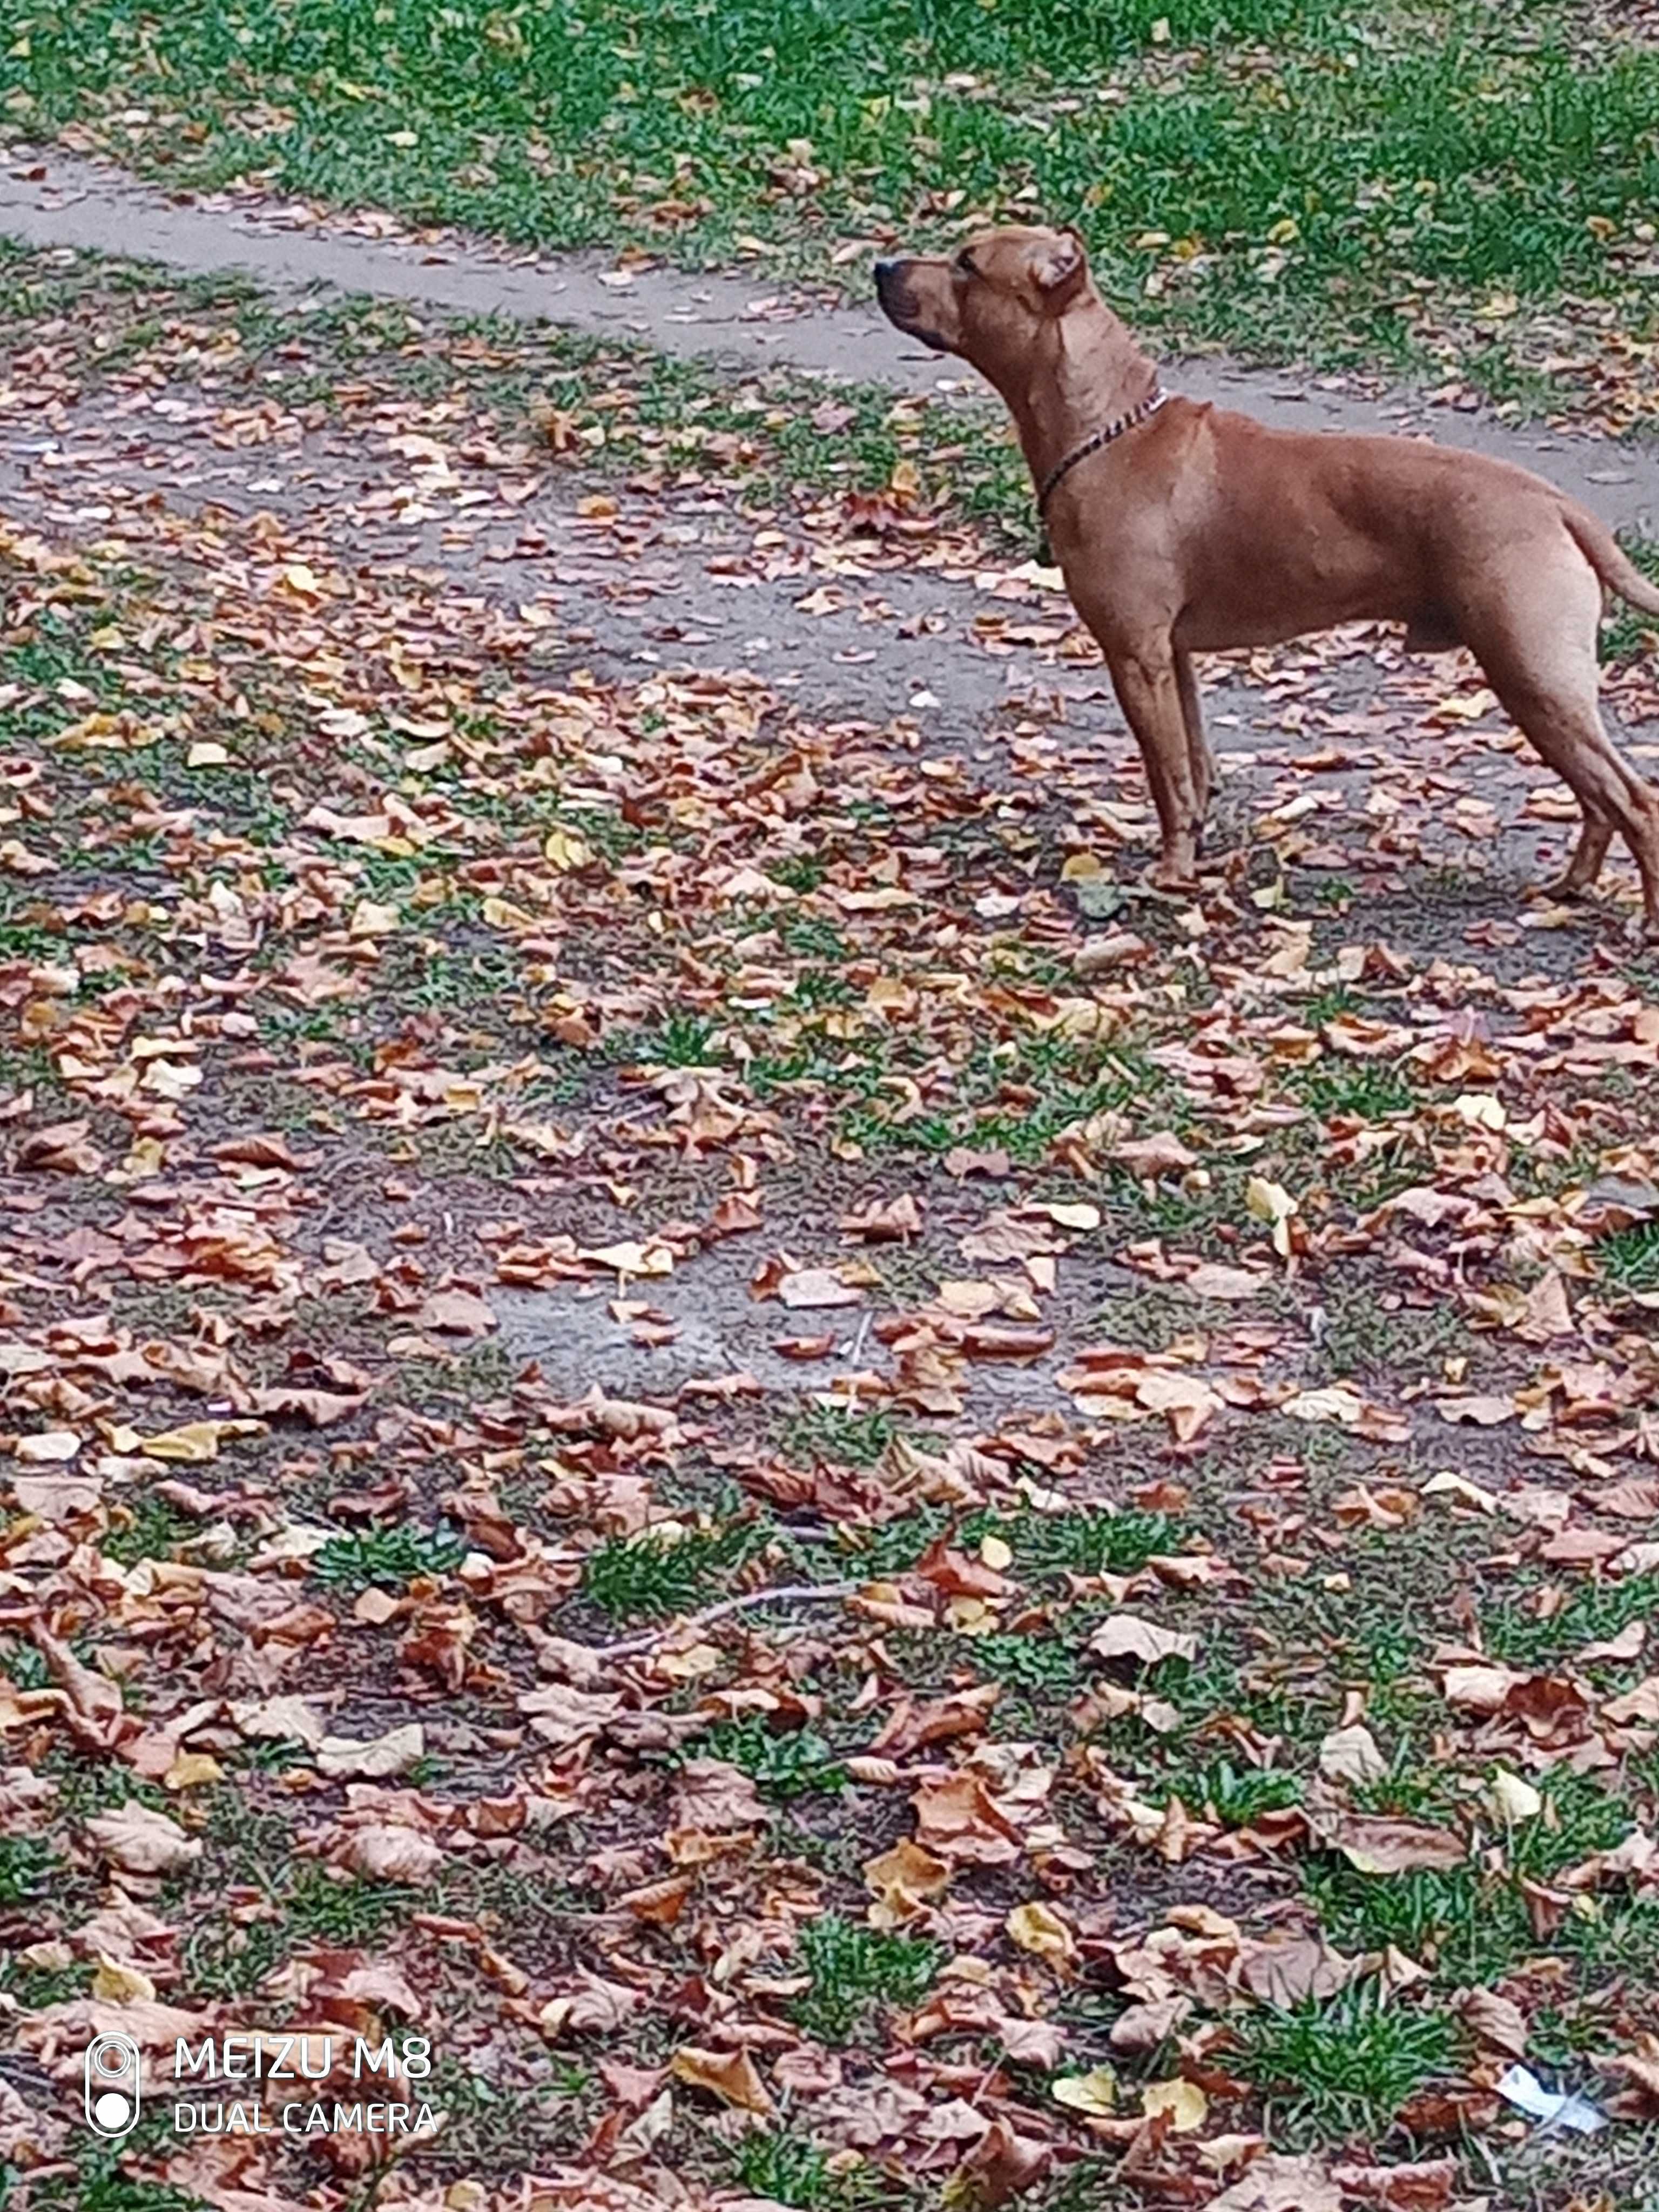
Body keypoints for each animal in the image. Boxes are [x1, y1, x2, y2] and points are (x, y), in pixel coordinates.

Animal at [876, 218, 1659, 925]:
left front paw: (1170, 874)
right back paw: (1570, 888)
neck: (1107, 429)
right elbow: (1193, 770)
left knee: (1633, 799)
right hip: (1540, 689)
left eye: (968, 264)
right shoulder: (1174, 660)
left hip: (1534, 675)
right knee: (1599, 800)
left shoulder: (1135, 657)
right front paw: (1192, 854)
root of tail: (1556, 504)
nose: (883, 265)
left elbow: (1166, 778)